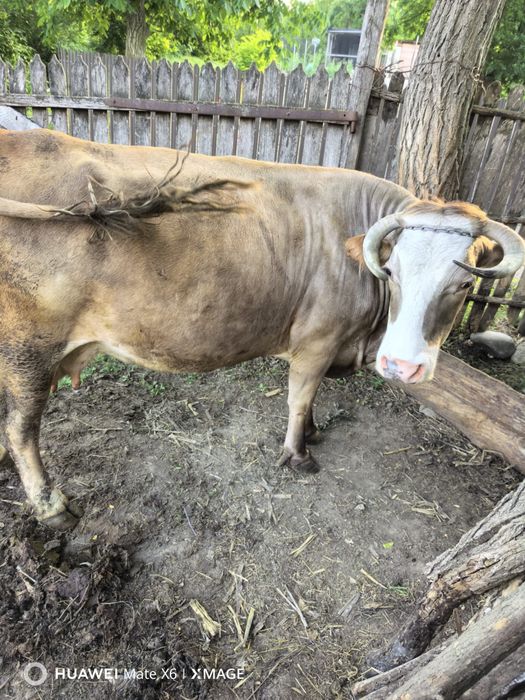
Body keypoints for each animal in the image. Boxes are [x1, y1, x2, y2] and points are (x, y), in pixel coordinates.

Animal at [0, 129, 523, 530]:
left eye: (464, 282)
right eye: (391, 271)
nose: (402, 366)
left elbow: (311, 398)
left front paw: (312, 433)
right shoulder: (317, 340)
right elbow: (299, 397)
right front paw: (298, 453)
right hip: (29, 350)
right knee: (21, 428)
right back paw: (51, 506)